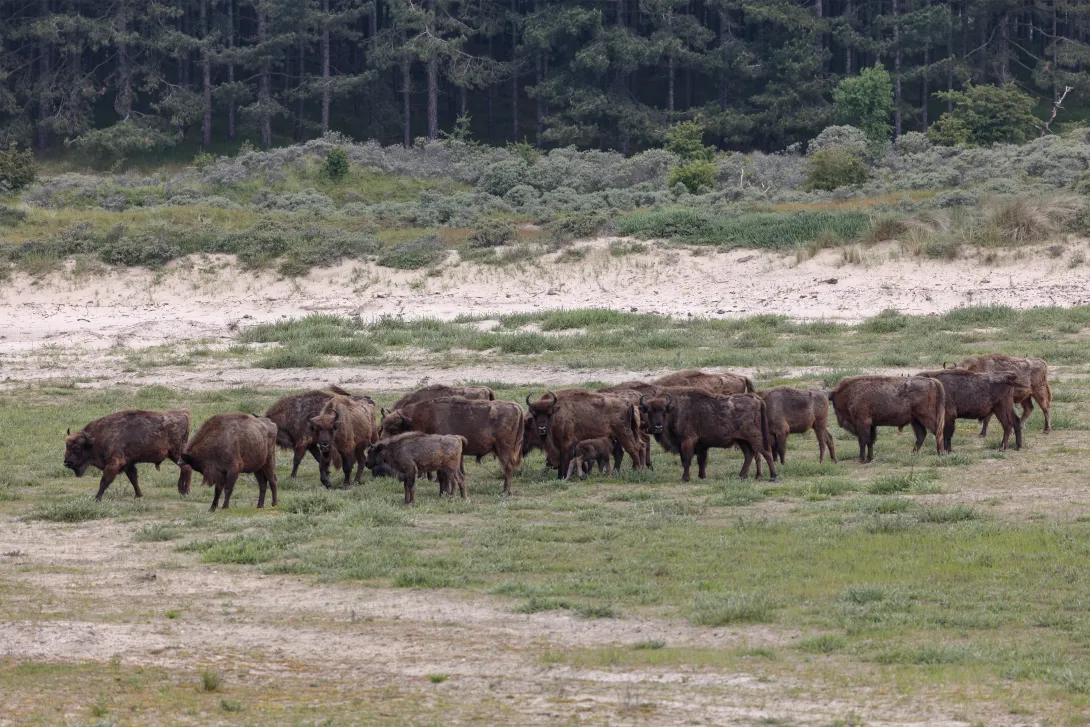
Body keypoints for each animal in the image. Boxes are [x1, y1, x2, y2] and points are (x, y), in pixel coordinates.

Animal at [64, 409, 193, 500]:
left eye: (77, 448)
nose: (66, 463)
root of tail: (184, 414)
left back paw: (185, 492)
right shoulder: (128, 464)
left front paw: (97, 498)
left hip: (176, 453)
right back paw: (182, 491)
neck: (95, 439)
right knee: (186, 468)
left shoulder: (114, 463)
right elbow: (133, 478)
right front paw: (138, 495)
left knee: (186, 468)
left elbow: (104, 481)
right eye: (66, 446)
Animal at [639, 388, 777, 482]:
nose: (658, 427)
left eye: (663, 411)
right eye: (649, 412)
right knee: (749, 454)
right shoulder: (701, 445)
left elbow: (686, 460)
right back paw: (742, 476)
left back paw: (773, 477)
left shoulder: (687, 441)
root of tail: (756, 399)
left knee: (766, 452)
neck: (674, 409)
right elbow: (701, 461)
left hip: (754, 437)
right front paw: (701, 476)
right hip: (742, 440)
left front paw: (685, 478)